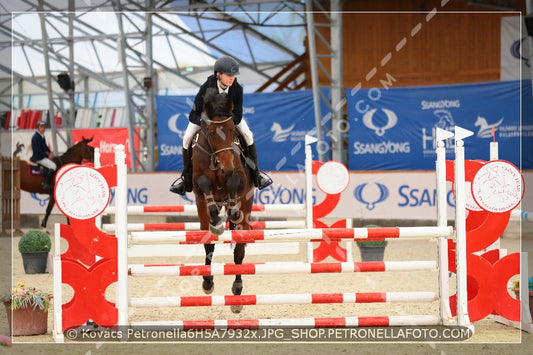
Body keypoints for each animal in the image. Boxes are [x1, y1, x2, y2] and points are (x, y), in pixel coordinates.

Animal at [191, 88, 256, 314]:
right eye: (210, 132)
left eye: (230, 130)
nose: (226, 168)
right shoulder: (199, 182)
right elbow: (204, 185)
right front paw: (217, 223)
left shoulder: (240, 177)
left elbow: (235, 182)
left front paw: (233, 210)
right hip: (202, 213)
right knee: (208, 245)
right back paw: (207, 282)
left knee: (239, 251)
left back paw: (237, 293)